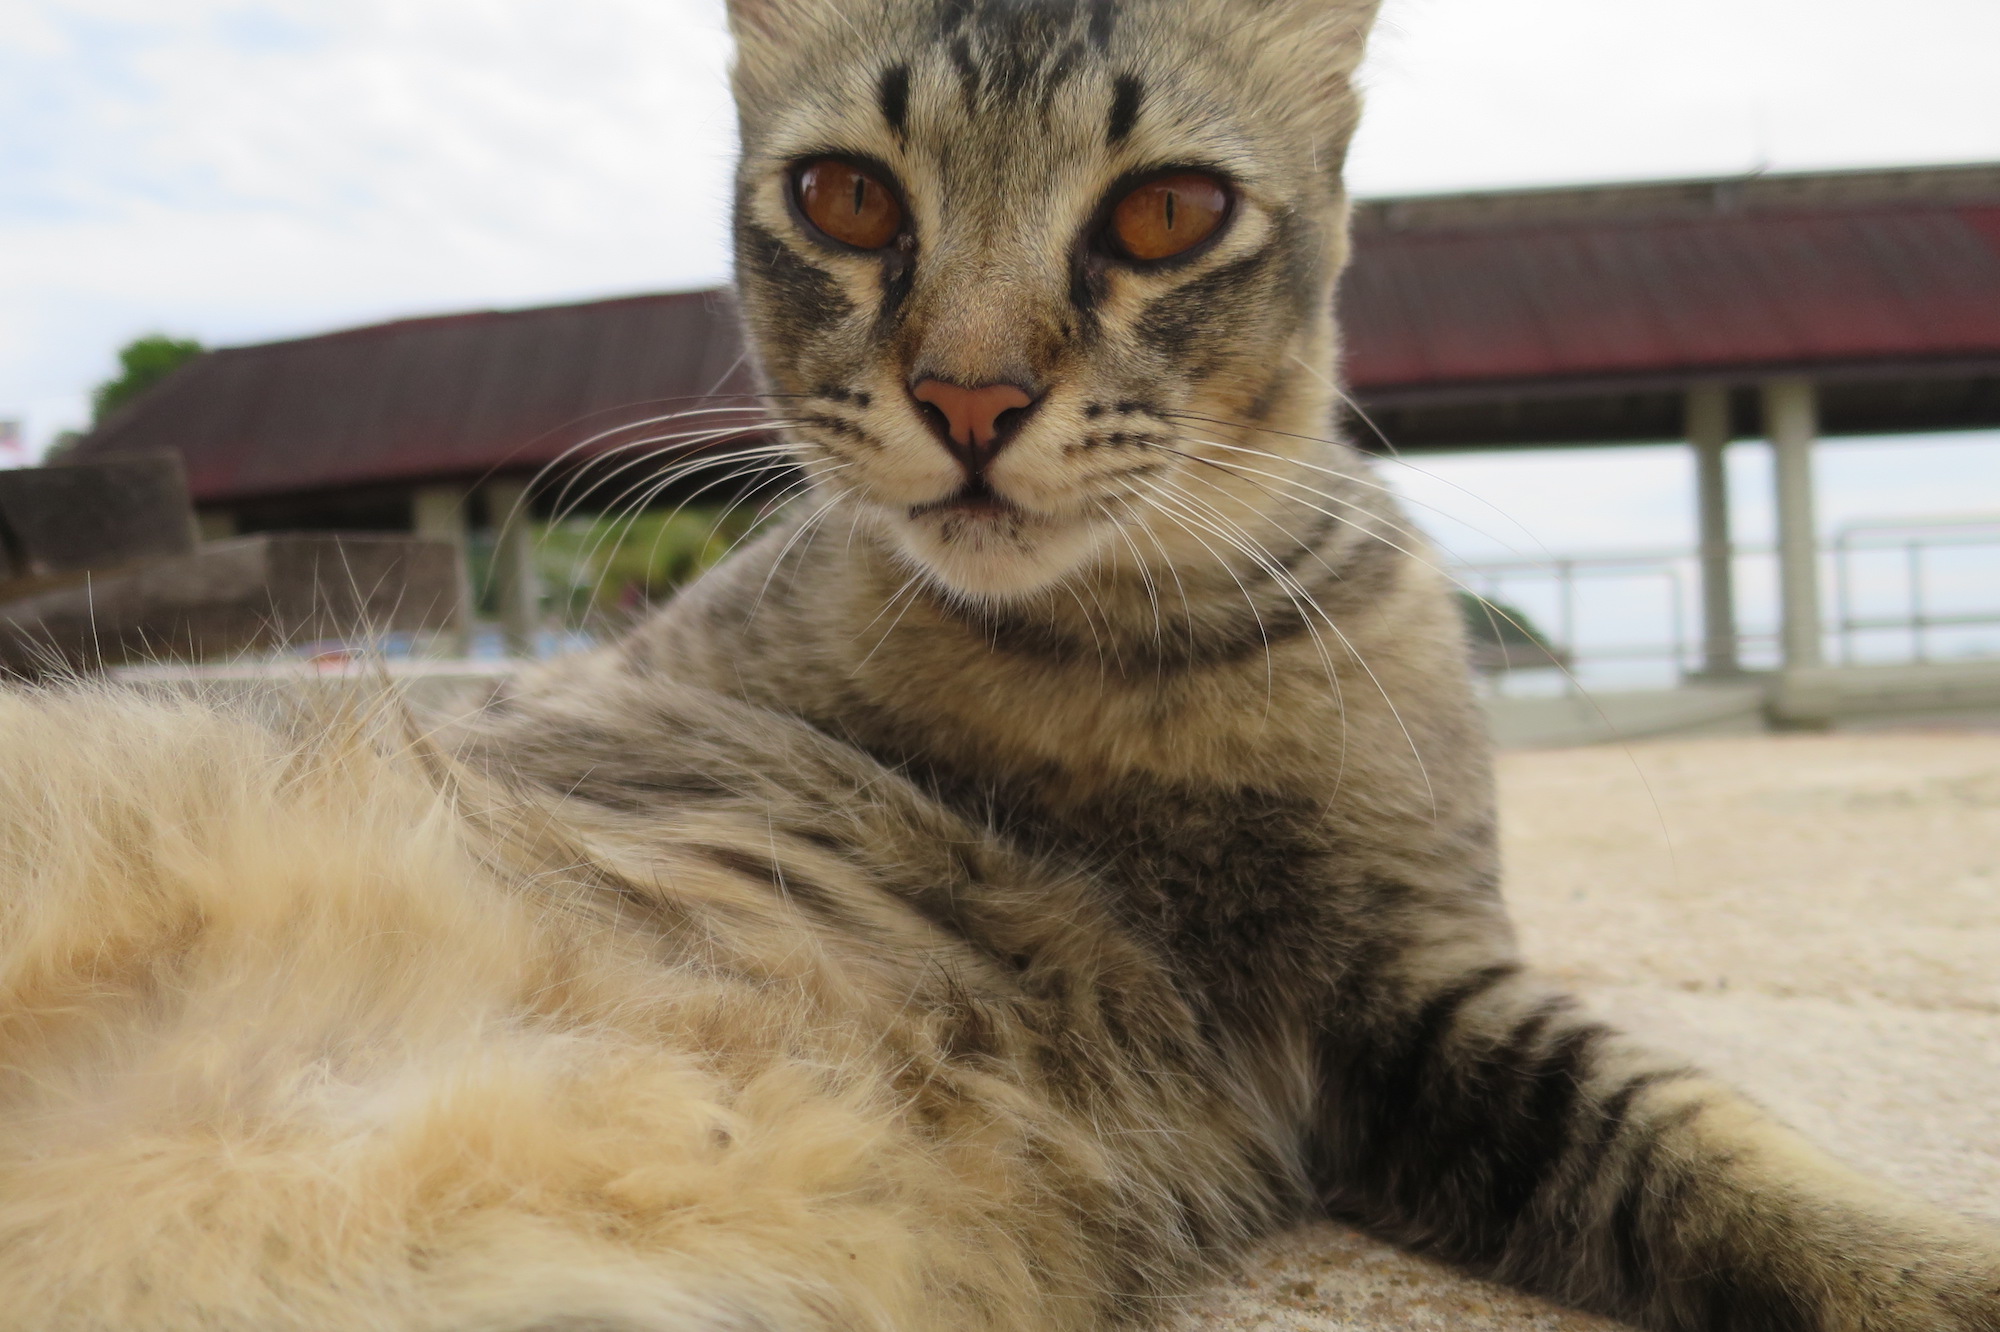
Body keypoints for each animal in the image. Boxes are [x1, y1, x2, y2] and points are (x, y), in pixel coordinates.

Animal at [3, 2, 2000, 1328]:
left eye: (1167, 213)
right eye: (848, 199)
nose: (970, 394)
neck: (1115, 659)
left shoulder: (1417, 997)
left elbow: (1720, 1156)